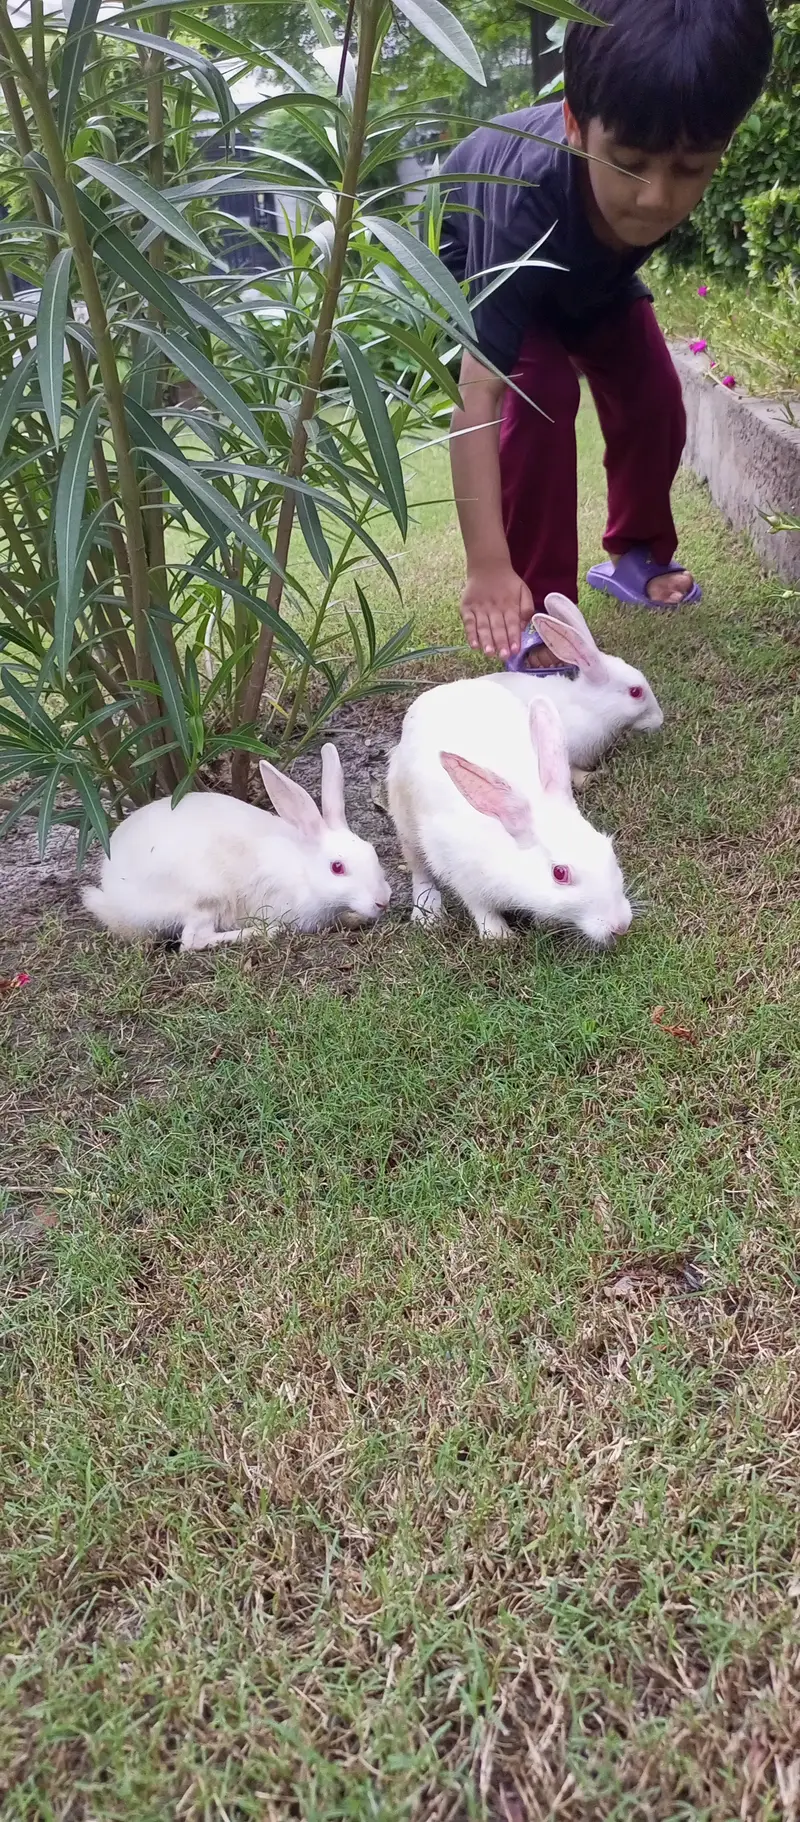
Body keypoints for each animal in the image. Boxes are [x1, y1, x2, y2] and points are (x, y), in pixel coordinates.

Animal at [82, 745, 391, 949]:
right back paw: (261, 932)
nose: (383, 901)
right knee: (193, 941)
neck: (303, 871)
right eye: (337, 867)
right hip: (203, 897)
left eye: (373, 851)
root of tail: (114, 899)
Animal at [387, 681, 632, 945]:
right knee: (419, 870)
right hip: (405, 822)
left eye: (608, 848)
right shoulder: (463, 875)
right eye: (560, 873)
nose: (620, 926)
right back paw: (428, 915)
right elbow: (480, 908)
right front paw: (498, 936)